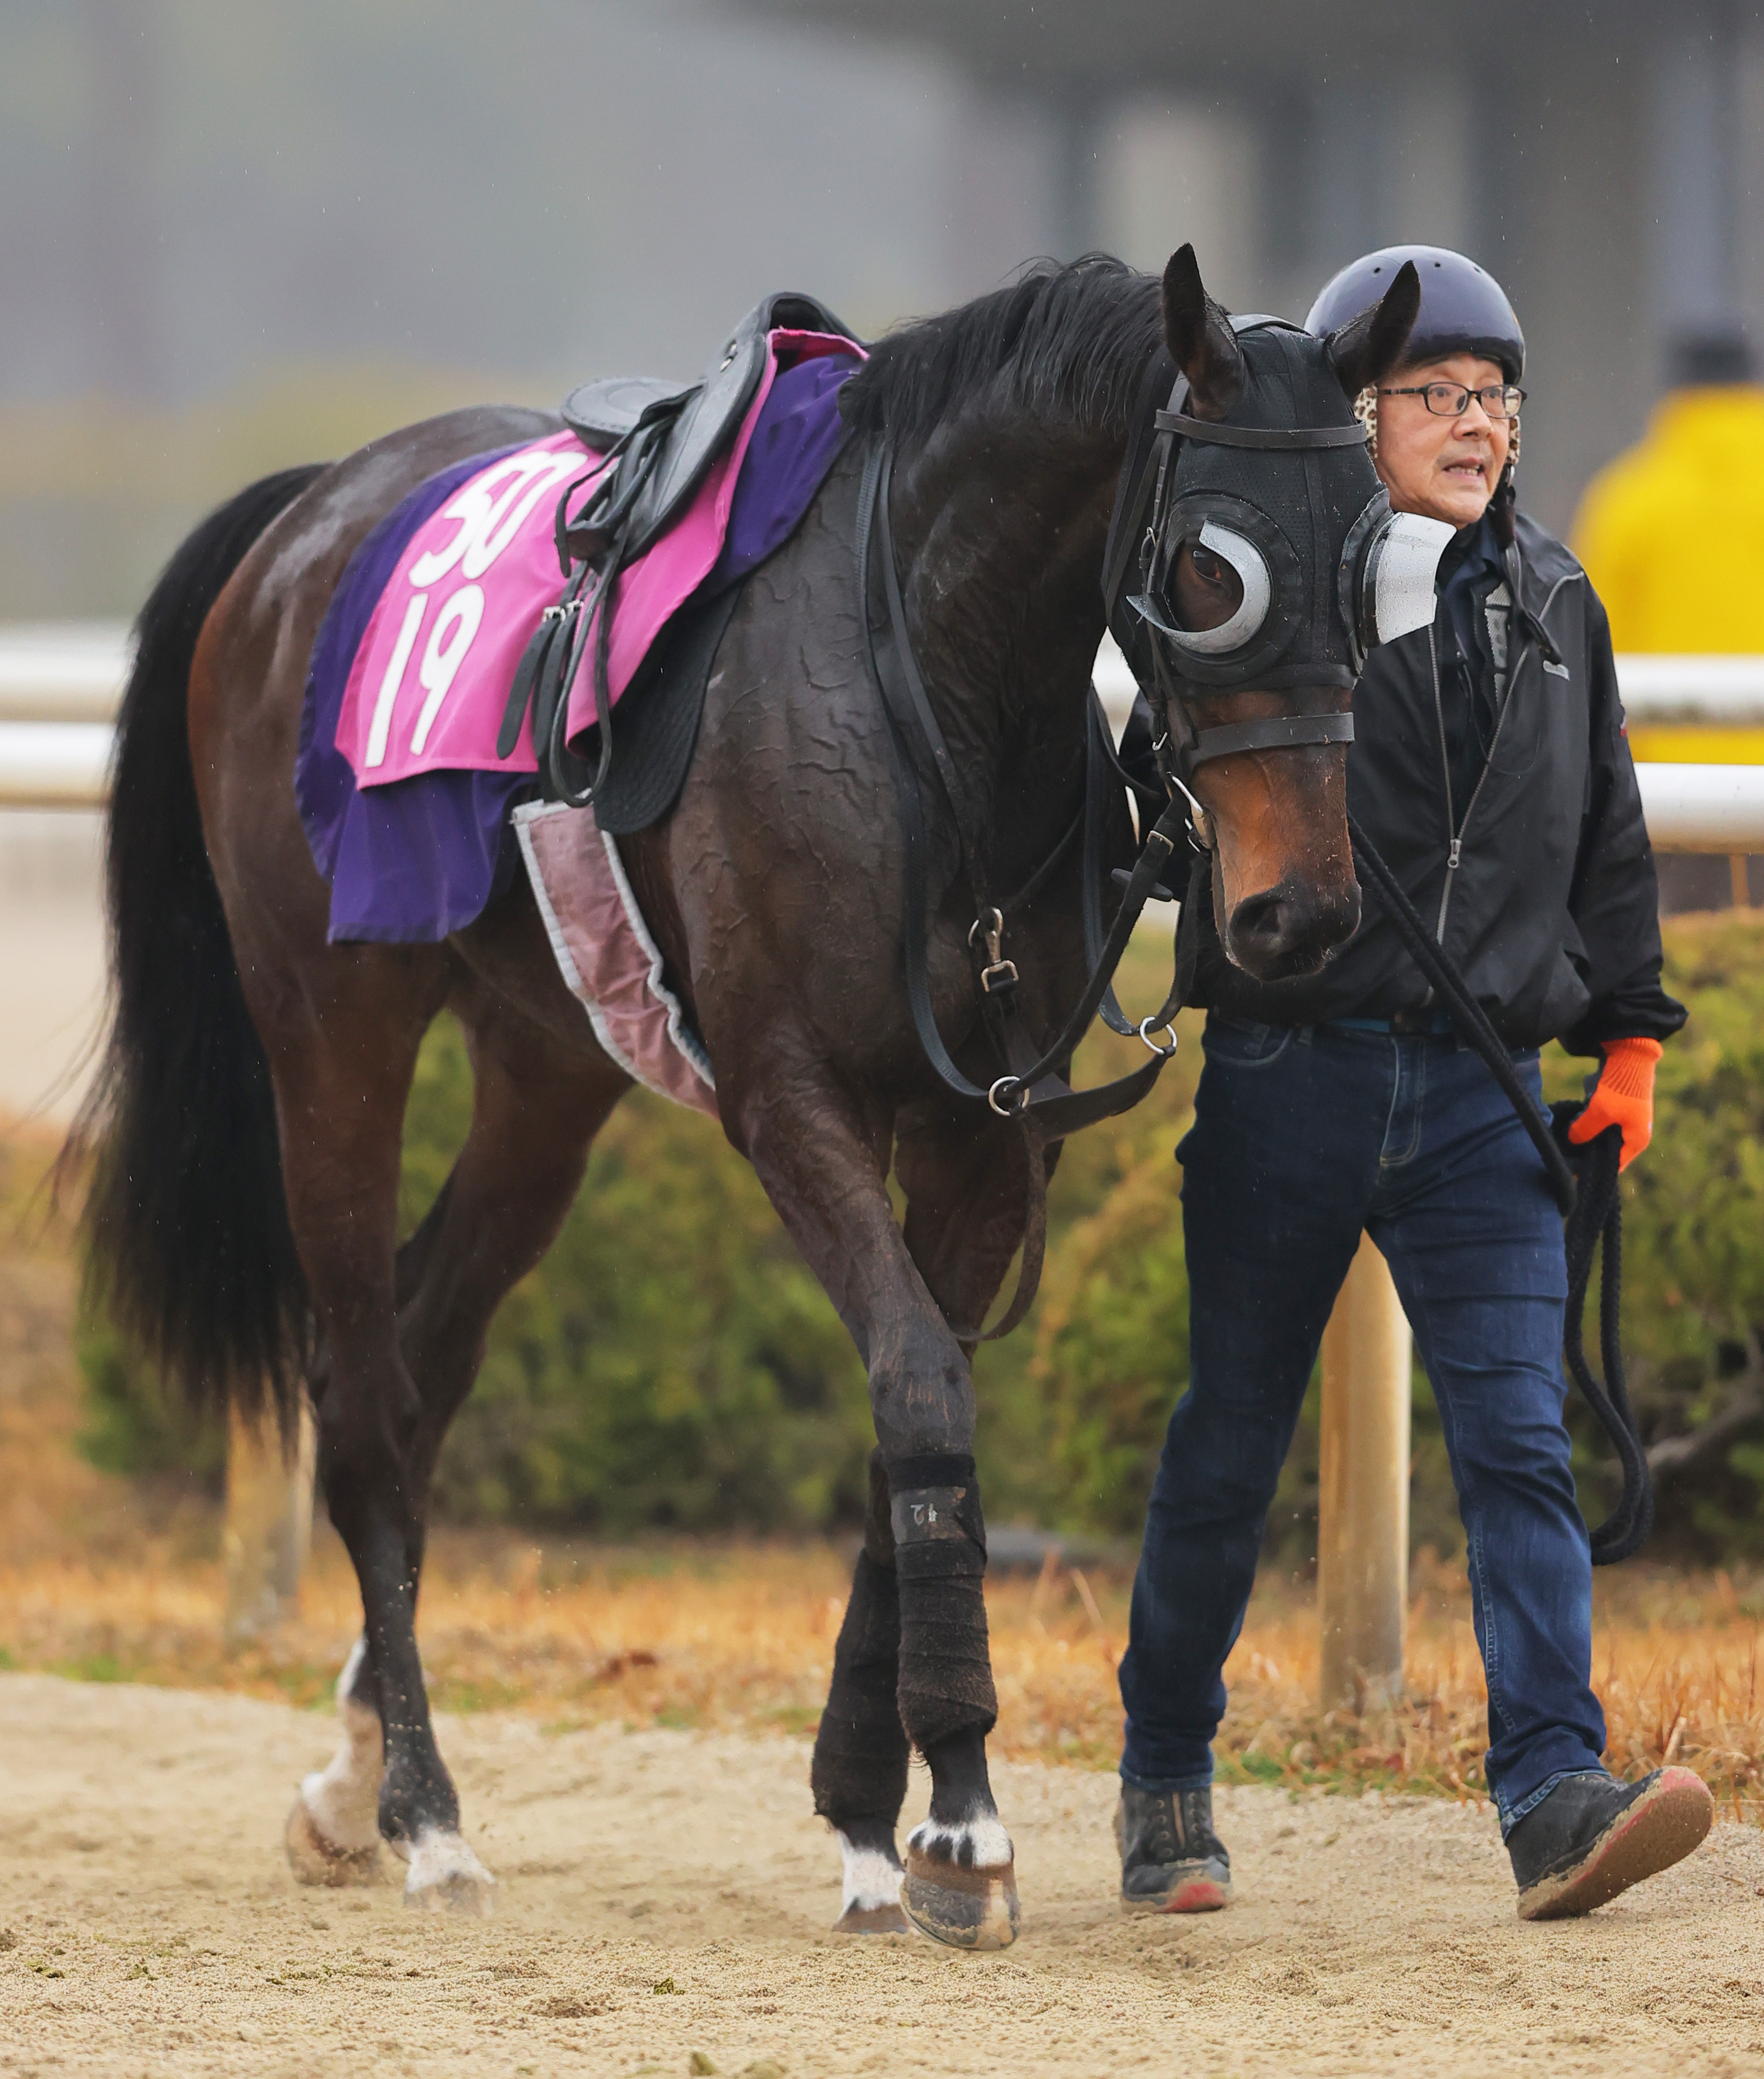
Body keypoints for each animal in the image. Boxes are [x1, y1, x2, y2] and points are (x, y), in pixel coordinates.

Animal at [76, 245, 1419, 1944]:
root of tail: (307, 512)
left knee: (429, 1356)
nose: (1297, 913)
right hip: (333, 1033)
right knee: (362, 1391)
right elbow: (919, 1385)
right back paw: (423, 1808)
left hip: (544, 1068)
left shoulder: (983, 1133)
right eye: (1208, 569)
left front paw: (869, 1811)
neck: (930, 689)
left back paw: (352, 1770)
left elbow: (909, 1419)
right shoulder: (792, 1094)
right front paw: (963, 1810)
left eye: (1376, 562)